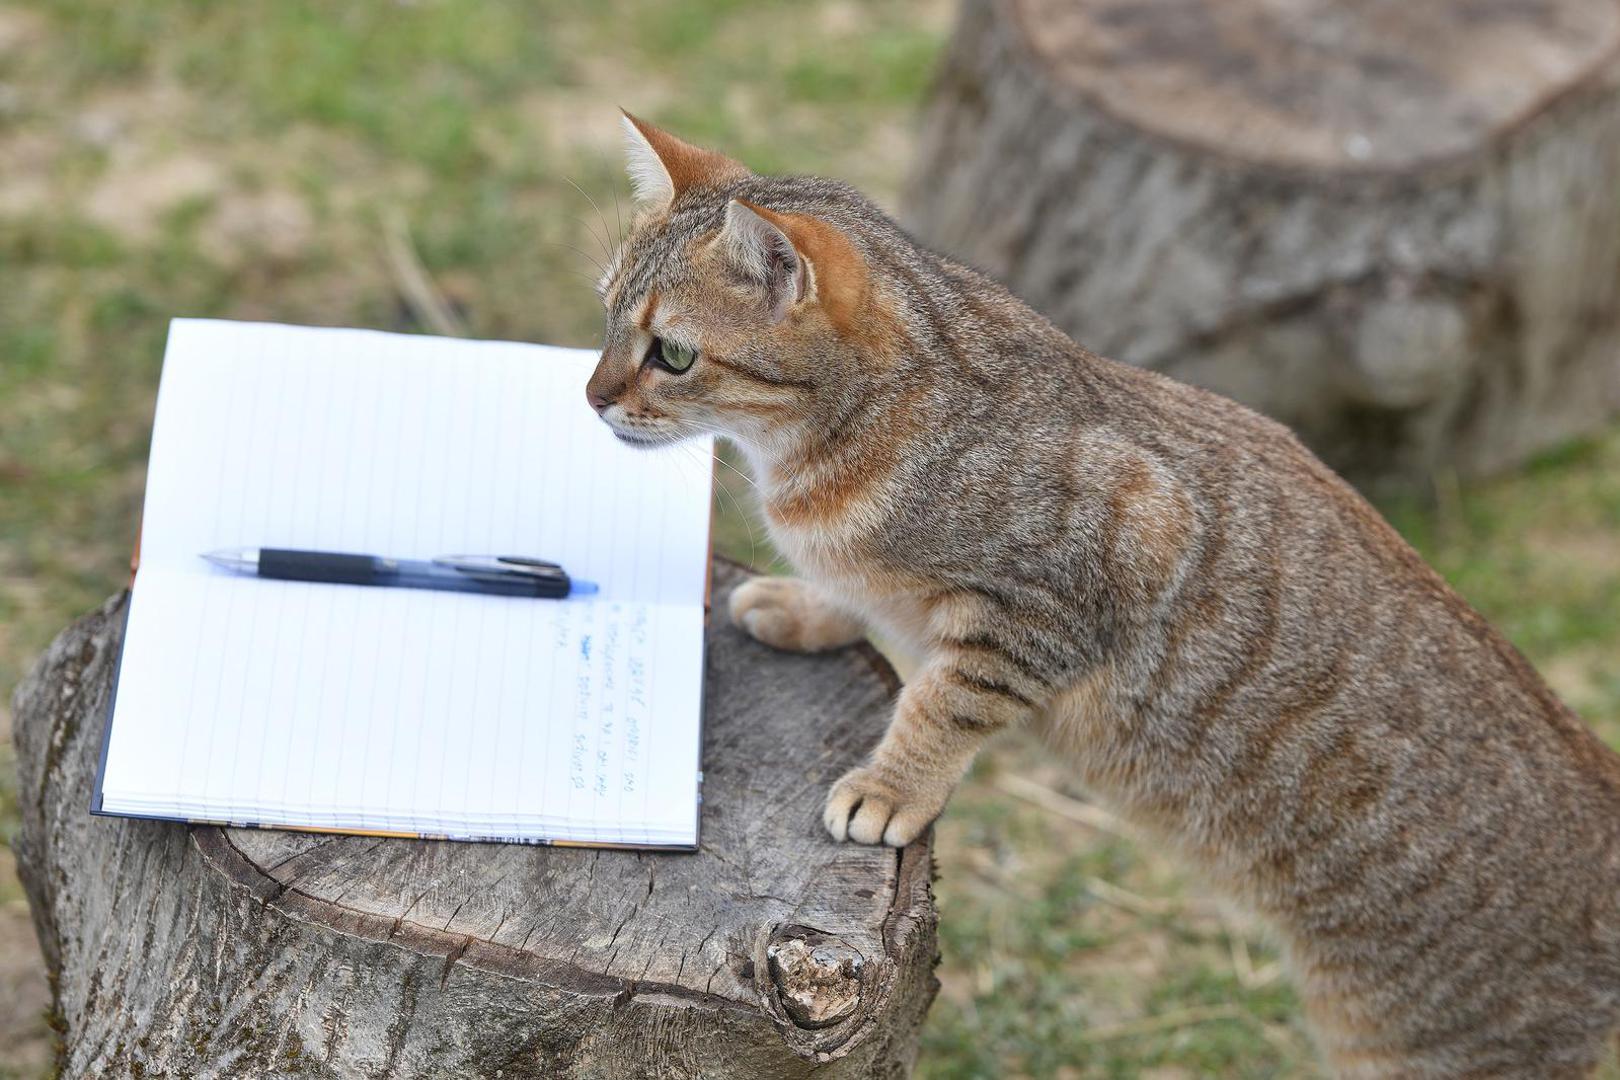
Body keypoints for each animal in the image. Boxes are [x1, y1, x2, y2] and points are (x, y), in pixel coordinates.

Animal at [589, 114, 1620, 1075]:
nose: (593, 397)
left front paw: (890, 787)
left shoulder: (1078, 586)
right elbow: (863, 595)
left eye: (671, 354)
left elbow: (940, 704)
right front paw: (807, 605)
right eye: (604, 316)